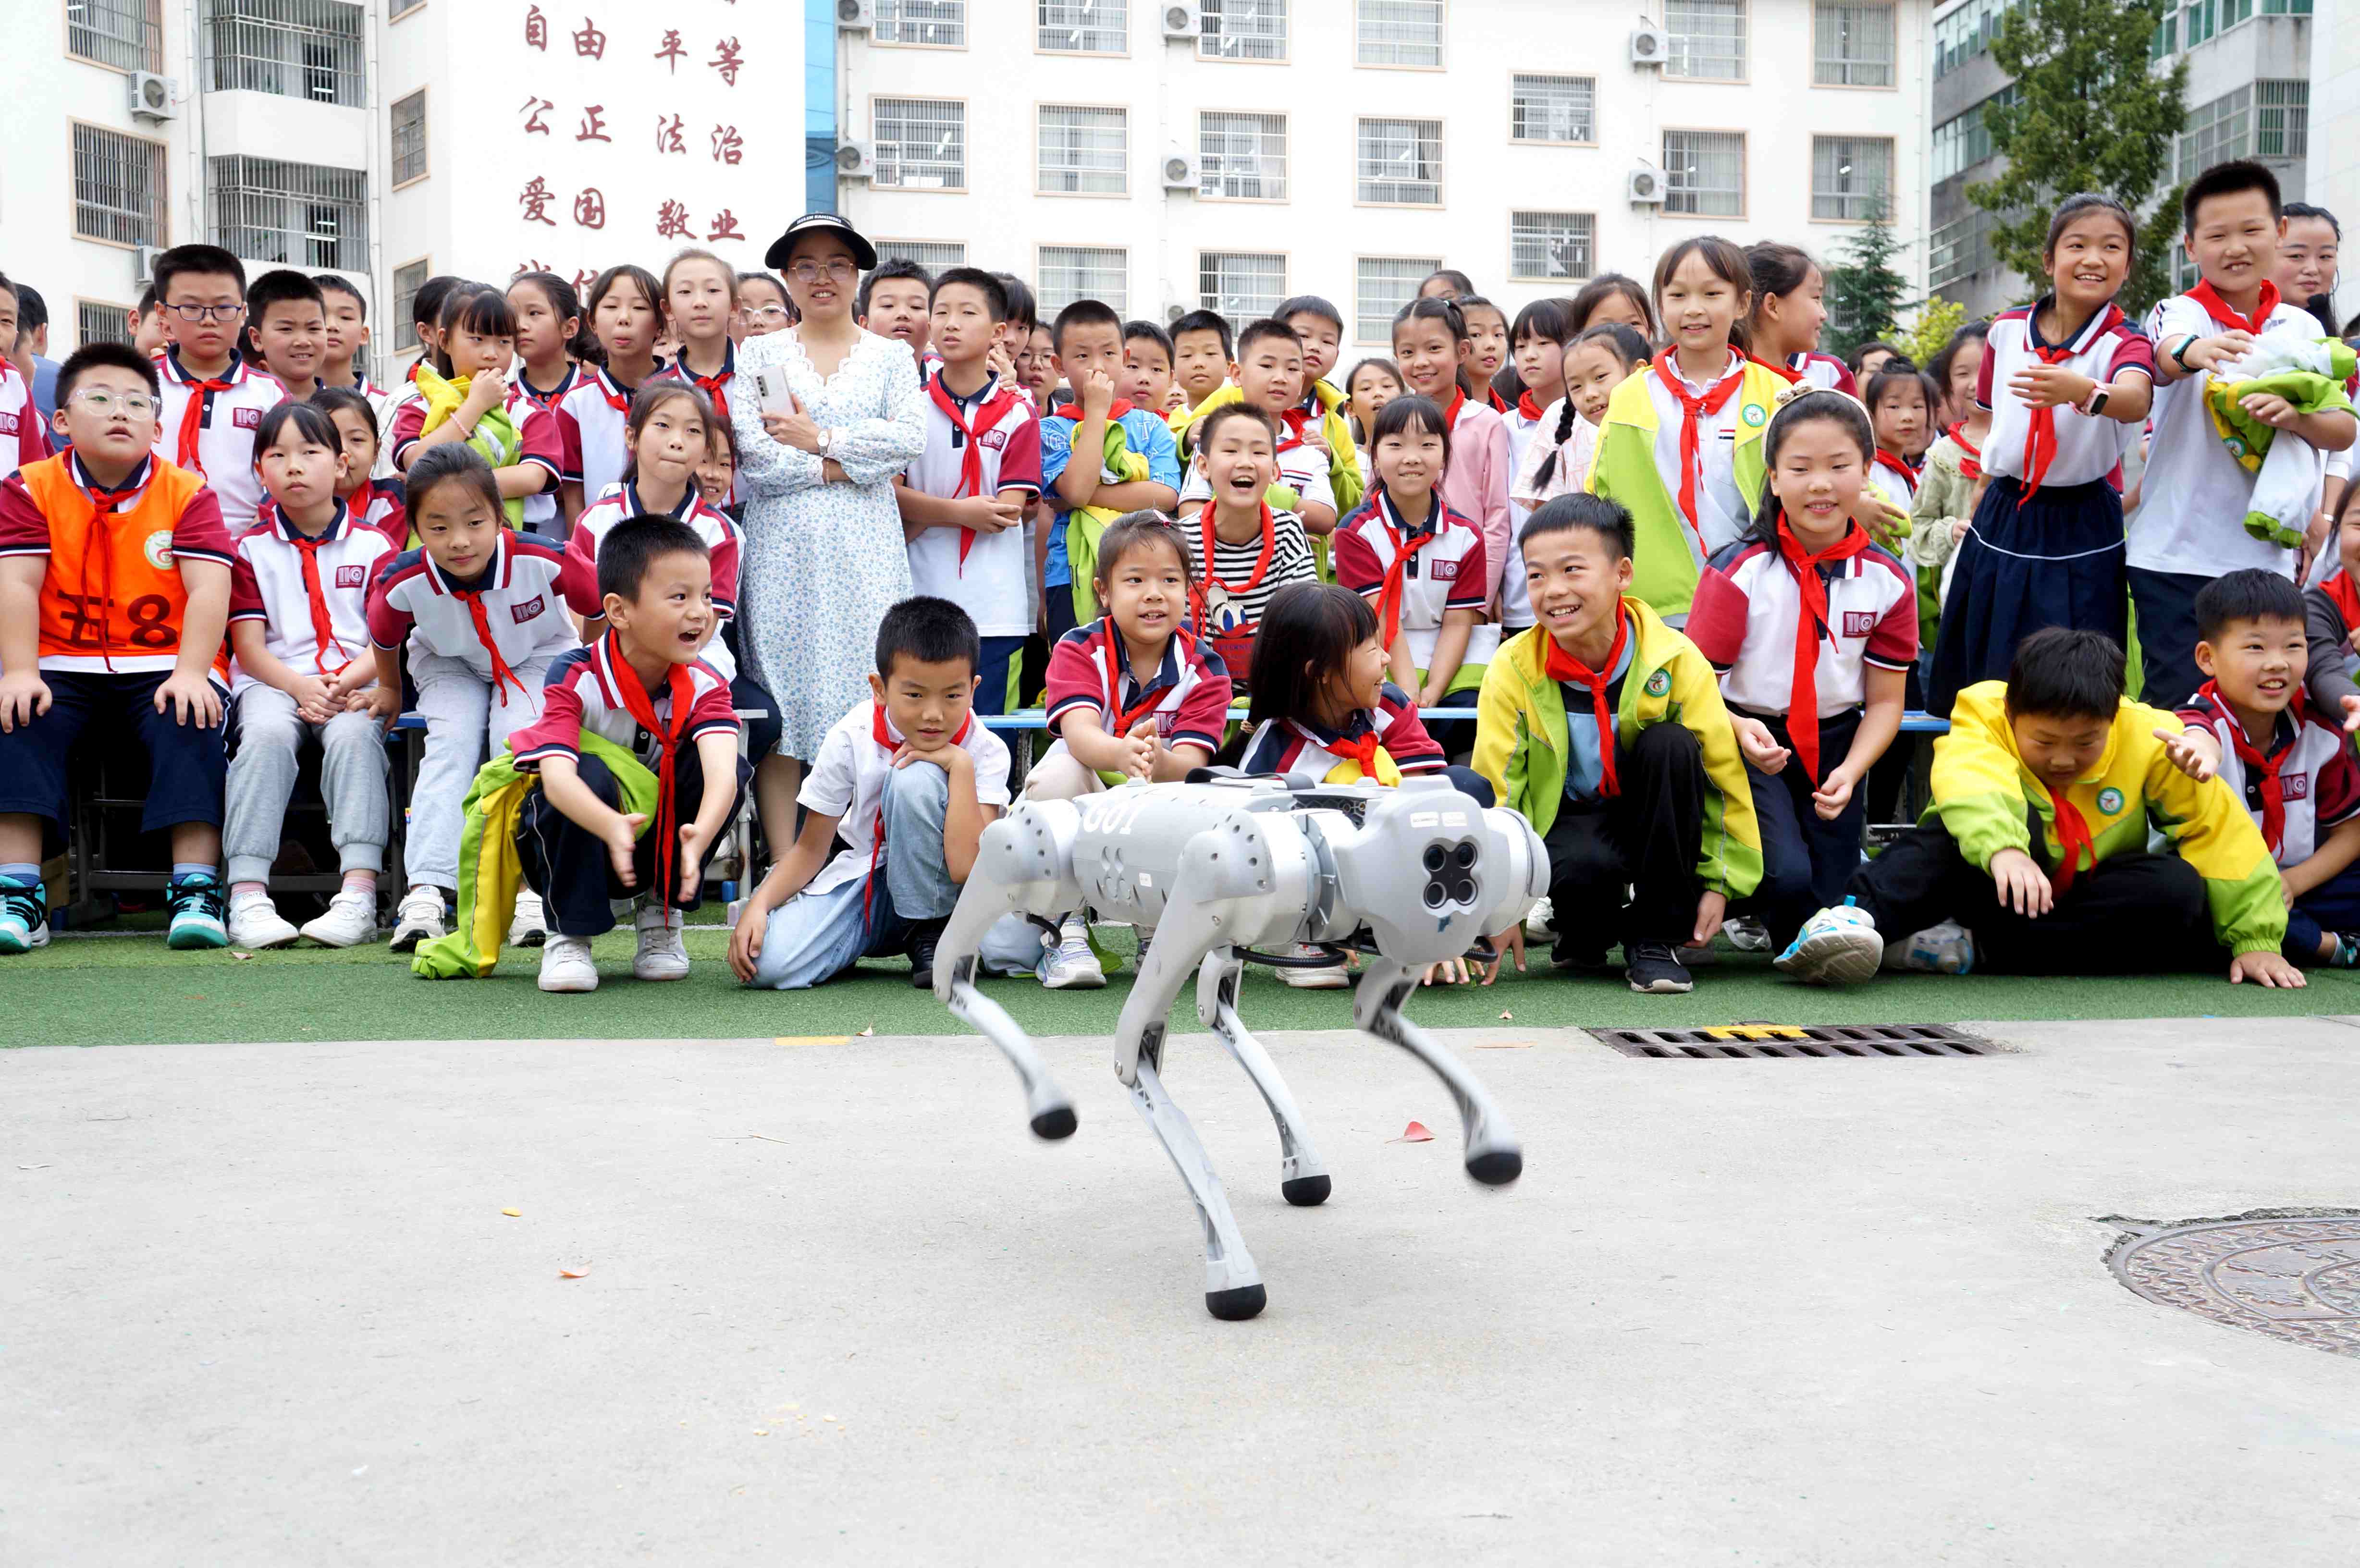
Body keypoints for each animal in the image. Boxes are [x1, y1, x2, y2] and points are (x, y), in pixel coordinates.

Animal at [930, 770, 1557, 1322]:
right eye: (1443, 862)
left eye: (1463, 859)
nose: (1452, 868)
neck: (1326, 851)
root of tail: (1093, 802)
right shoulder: (1210, 876)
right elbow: (1133, 1051)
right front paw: (1231, 1273)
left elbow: (1371, 1014)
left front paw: (1489, 1141)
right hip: (1036, 861)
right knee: (952, 962)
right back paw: (1038, 1090)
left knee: (1215, 1005)